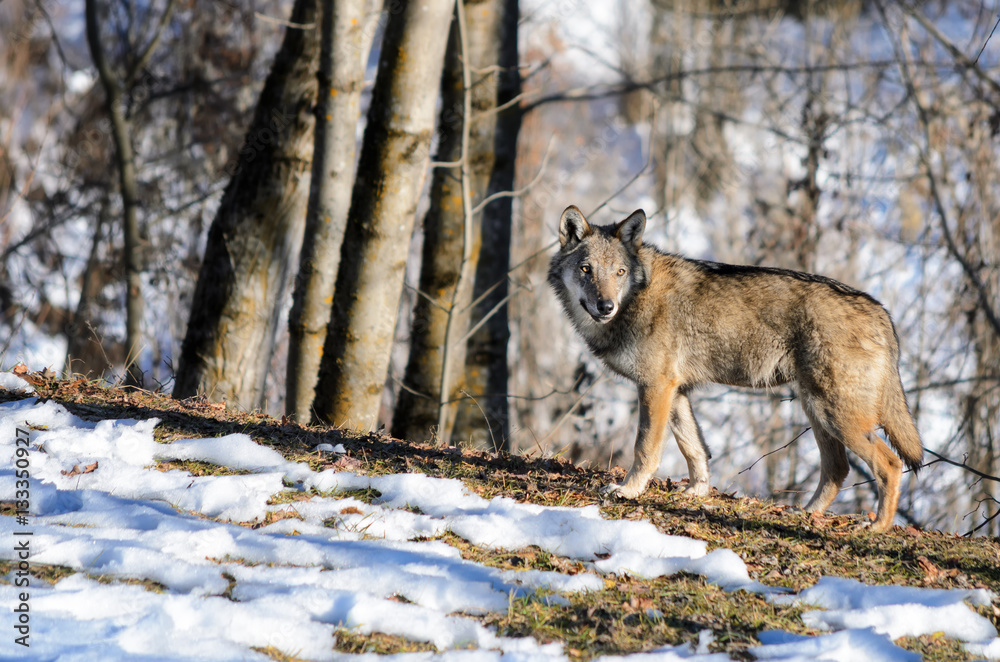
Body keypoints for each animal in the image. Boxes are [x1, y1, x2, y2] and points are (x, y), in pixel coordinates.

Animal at [548, 205, 923, 532]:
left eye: (619, 272)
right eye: (586, 269)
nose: (605, 306)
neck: (638, 297)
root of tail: (880, 311)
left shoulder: (656, 388)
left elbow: (645, 449)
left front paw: (628, 491)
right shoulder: (676, 391)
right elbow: (695, 449)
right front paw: (697, 492)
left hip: (835, 415)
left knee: (890, 464)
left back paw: (877, 527)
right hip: (818, 413)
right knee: (837, 469)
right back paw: (805, 514)